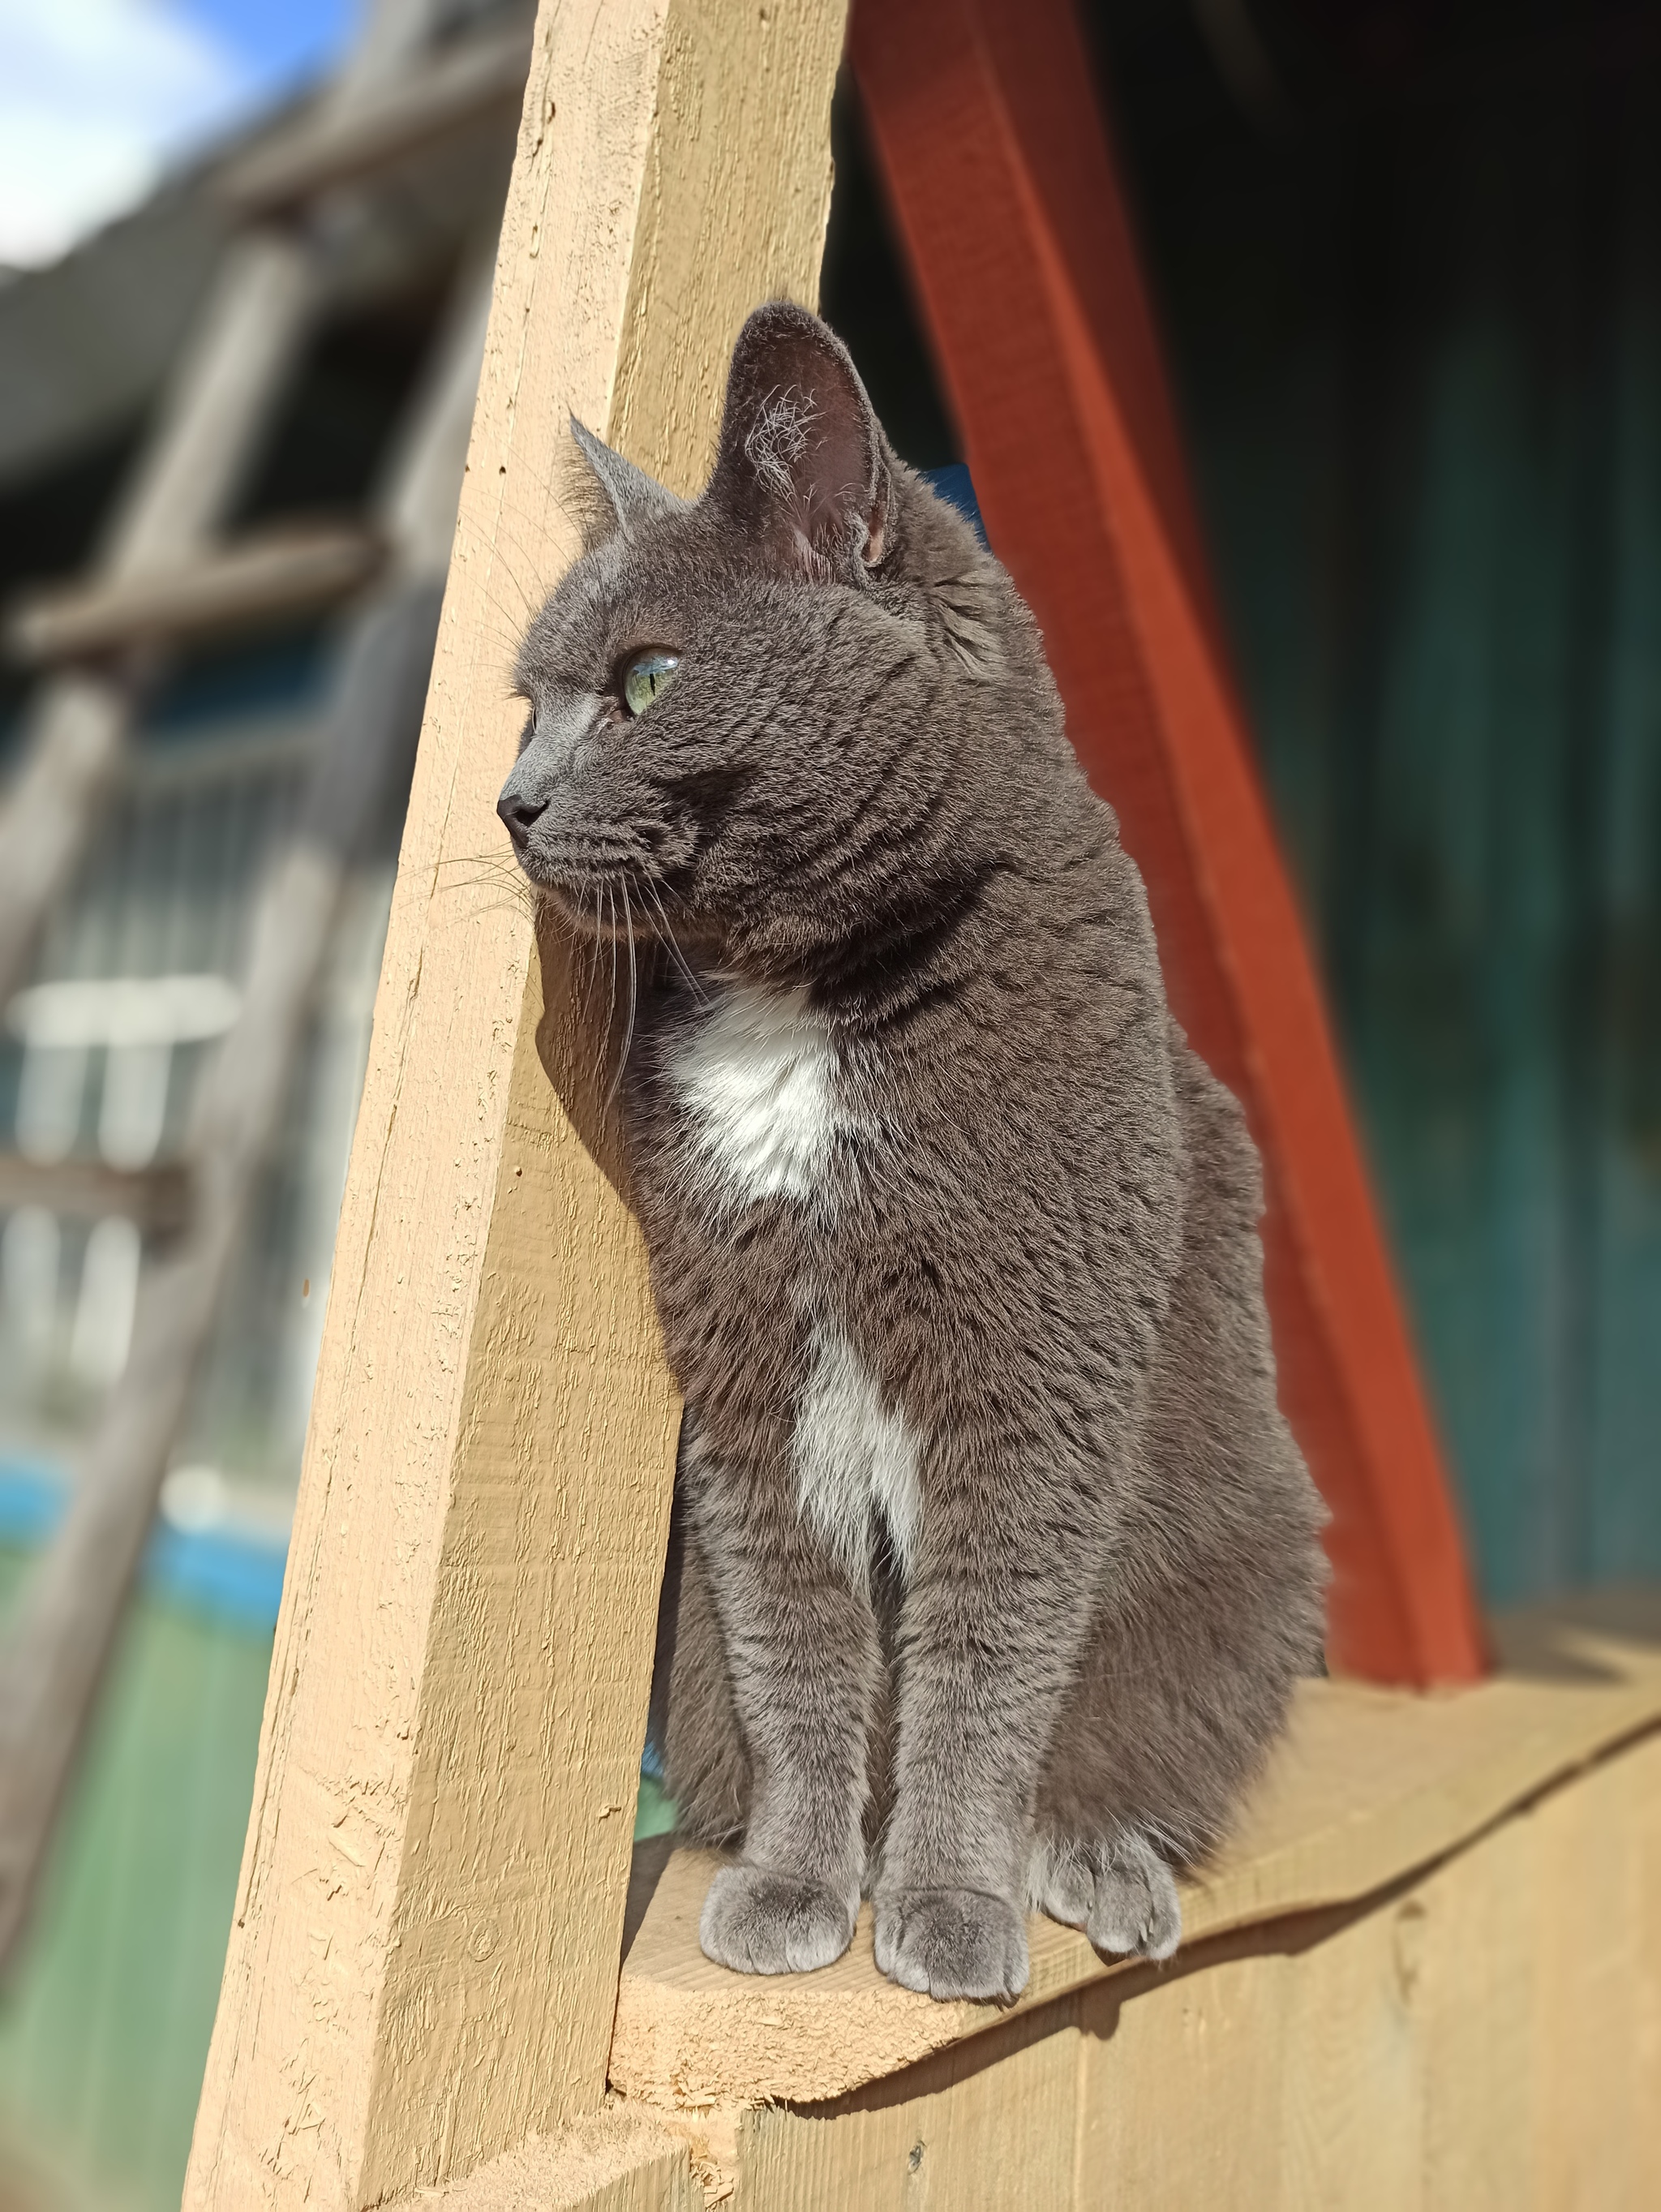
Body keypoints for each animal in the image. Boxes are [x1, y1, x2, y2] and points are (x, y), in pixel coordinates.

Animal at [500, 303, 1336, 2017]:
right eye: (523, 701)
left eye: (648, 680)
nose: (511, 803)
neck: (803, 1007)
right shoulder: (744, 1382)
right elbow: (802, 1649)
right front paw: (796, 1885)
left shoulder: (1032, 1376)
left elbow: (981, 1662)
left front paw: (942, 1903)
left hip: (1240, 1561)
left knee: (1116, 1751)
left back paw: (1097, 1867)